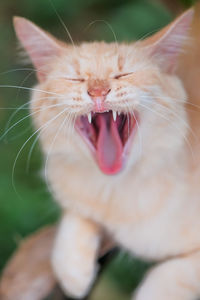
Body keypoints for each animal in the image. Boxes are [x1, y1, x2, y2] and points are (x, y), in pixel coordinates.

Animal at [11, 7, 200, 300]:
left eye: (124, 74)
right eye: (75, 78)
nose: (97, 91)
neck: (117, 193)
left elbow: (168, 277)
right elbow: (74, 219)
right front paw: (74, 273)